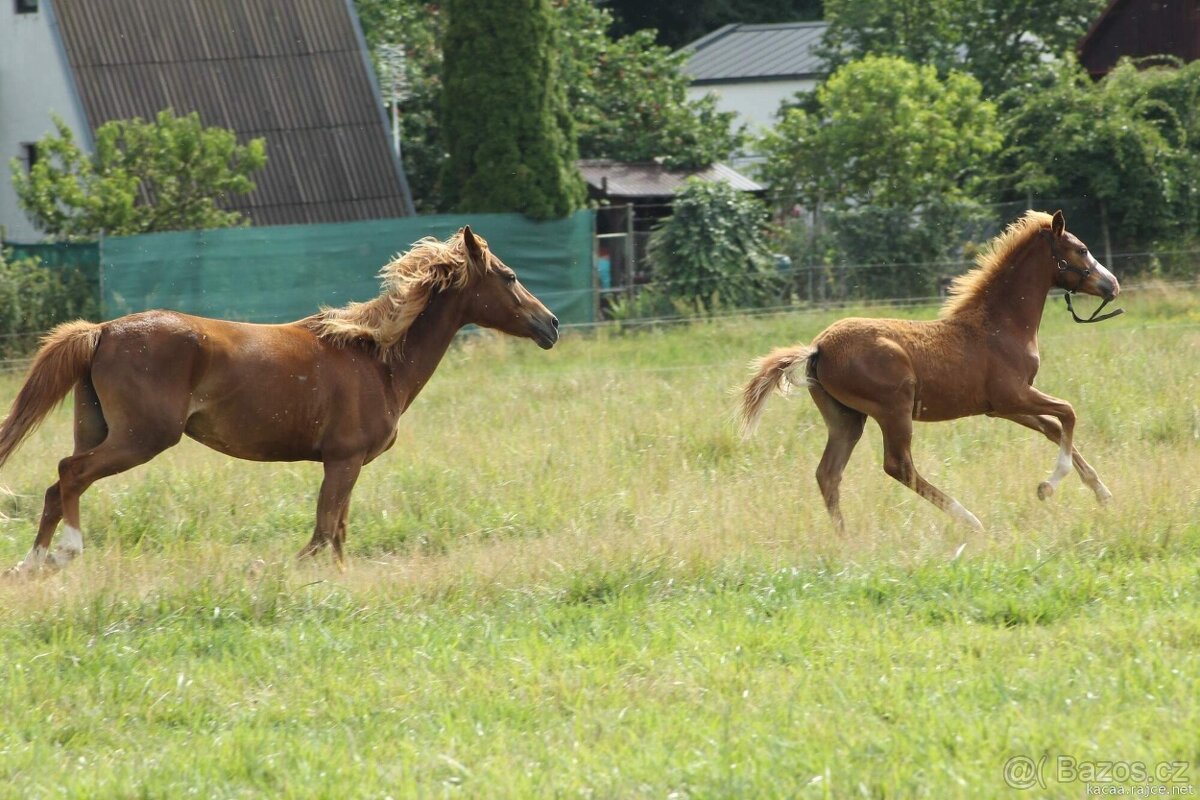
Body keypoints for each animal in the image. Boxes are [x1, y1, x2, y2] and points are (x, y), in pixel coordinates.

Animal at [0, 226, 559, 575]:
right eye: (509, 276)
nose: (550, 325)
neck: (376, 359)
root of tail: (102, 331)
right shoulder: (343, 461)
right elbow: (322, 534)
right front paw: (265, 571)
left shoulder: (346, 465)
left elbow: (336, 535)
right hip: (142, 438)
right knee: (70, 474)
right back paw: (65, 553)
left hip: (98, 430)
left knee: (57, 487)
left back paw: (31, 564)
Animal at [739, 210, 1122, 532]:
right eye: (1082, 249)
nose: (1113, 285)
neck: (1000, 326)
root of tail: (818, 348)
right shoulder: (1014, 395)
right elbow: (1068, 414)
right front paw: (1047, 487)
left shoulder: (1002, 407)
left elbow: (1054, 428)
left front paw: (1101, 493)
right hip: (893, 409)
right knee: (898, 466)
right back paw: (969, 520)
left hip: (845, 418)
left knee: (829, 473)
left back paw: (844, 538)